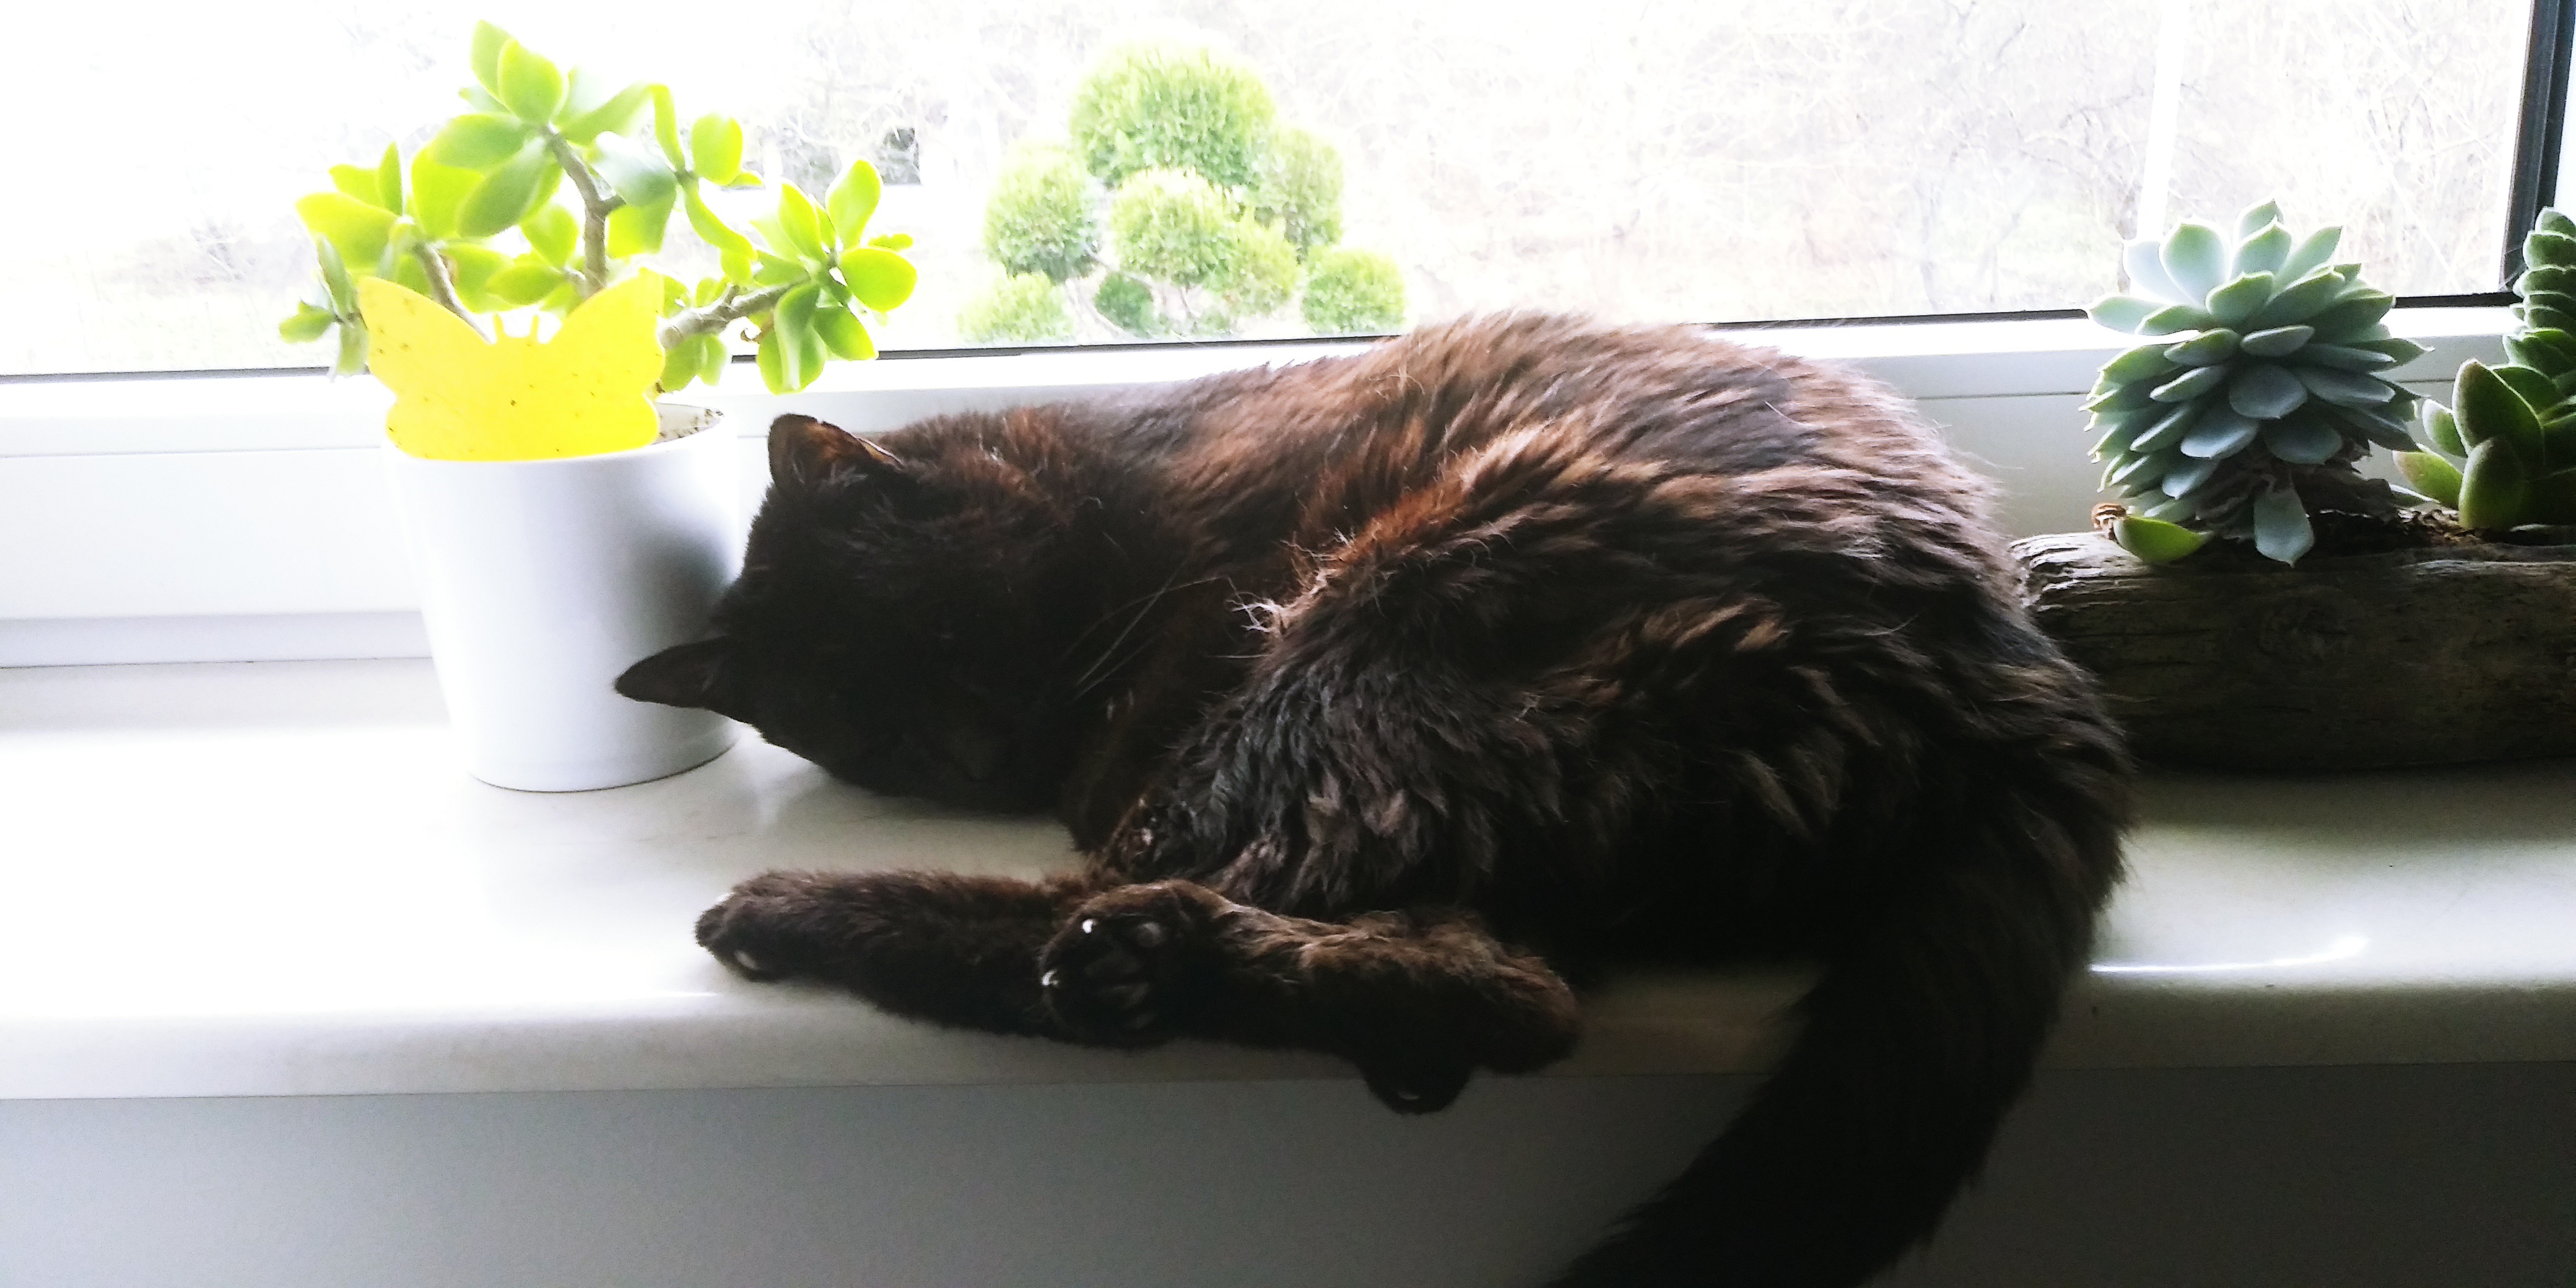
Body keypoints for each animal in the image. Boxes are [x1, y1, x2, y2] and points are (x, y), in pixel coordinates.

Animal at [618, 314, 2133, 1288]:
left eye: (935, 632)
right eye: (871, 728)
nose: (983, 753)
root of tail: (2011, 679)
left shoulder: (1217, 576)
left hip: (1380, 607)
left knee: (1132, 903)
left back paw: (825, 918)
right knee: (1508, 997)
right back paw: (1198, 981)